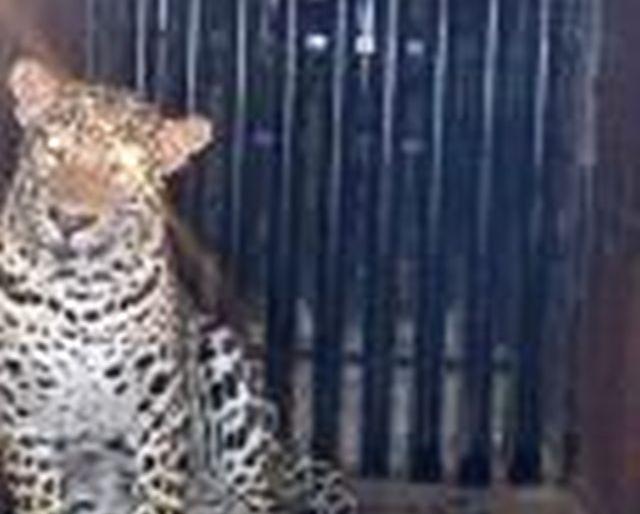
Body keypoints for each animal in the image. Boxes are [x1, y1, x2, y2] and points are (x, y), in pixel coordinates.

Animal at [0, 57, 356, 514]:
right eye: (54, 150)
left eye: (122, 169)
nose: (69, 220)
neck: (81, 292)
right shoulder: (22, 419)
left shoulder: (159, 417)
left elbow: (158, 495)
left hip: (220, 355)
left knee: (254, 493)